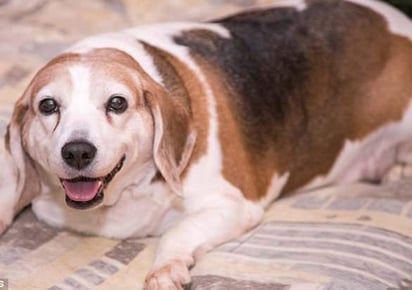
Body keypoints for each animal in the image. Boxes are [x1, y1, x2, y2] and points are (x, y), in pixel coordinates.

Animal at [0, 0, 412, 288]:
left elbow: (176, 231)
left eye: (117, 103)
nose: (77, 151)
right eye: (48, 106)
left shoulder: (233, 206)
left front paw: (165, 268)